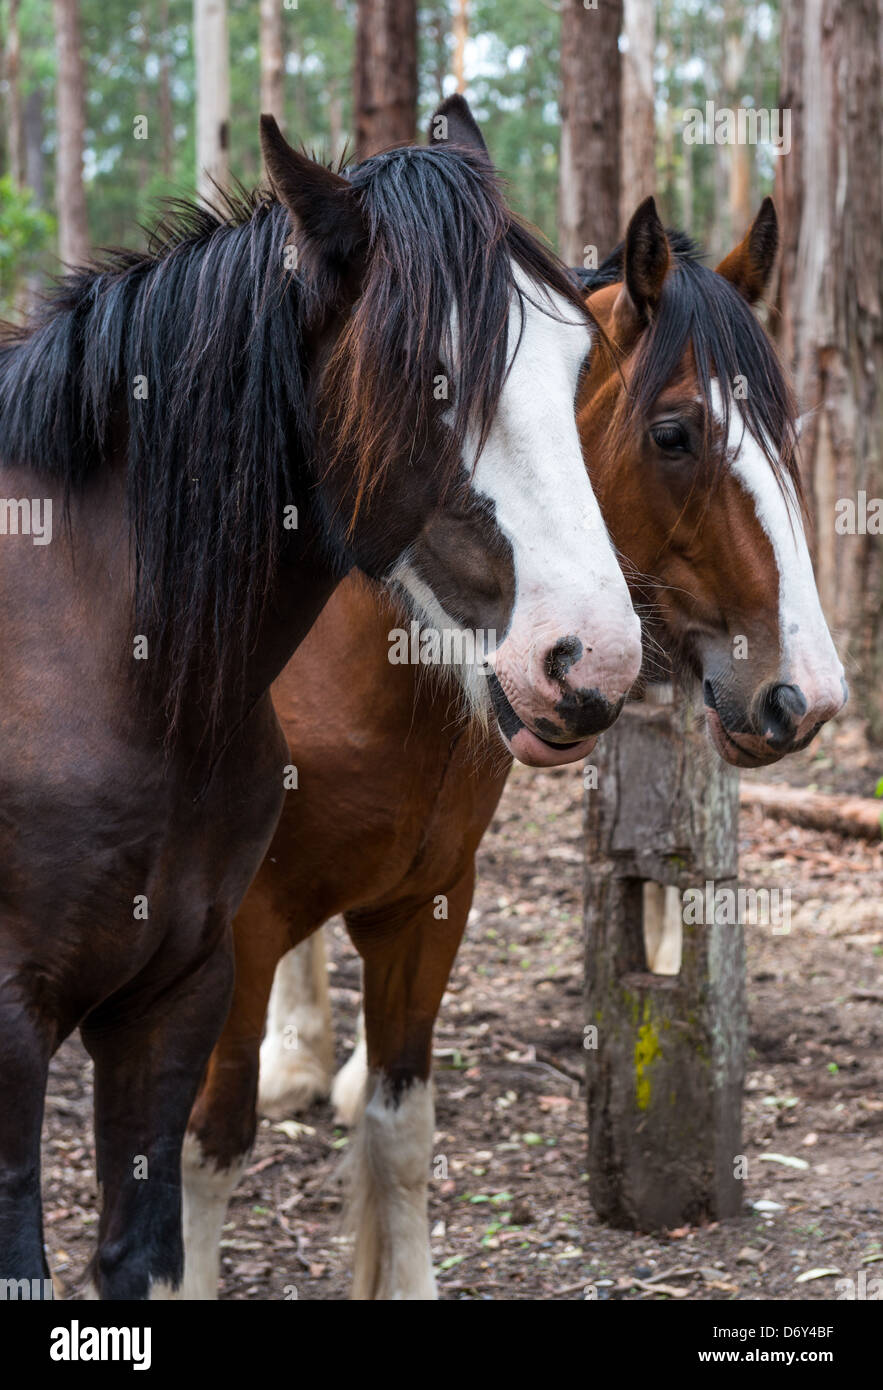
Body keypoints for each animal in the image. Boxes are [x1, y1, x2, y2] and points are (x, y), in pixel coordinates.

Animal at [0, 100, 642, 1301]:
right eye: (429, 375)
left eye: (579, 365)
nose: (592, 663)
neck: (108, 663)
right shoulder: (14, 1024)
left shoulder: (174, 995)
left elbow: (142, 1252)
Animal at [180, 198, 851, 1301]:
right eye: (674, 433)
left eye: (784, 433)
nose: (808, 695)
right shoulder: (234, 927)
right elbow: (203, 1152)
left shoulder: (434, 897)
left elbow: (402, 1136)